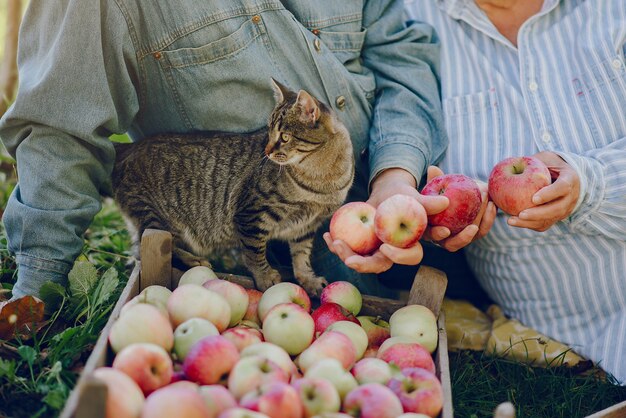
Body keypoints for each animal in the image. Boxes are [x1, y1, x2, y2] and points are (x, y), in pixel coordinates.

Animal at [111, 80, 352, 296]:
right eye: (269, 132)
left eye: (284, 137)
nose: (267, 151)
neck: (323, 179)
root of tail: (126, 148)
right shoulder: (252, 213)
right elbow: (255, 252)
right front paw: (265, 277)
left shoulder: (306, 227)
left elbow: (301, 256)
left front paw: (308, 279)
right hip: (155, 216)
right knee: (153, 246)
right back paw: (193, 259)